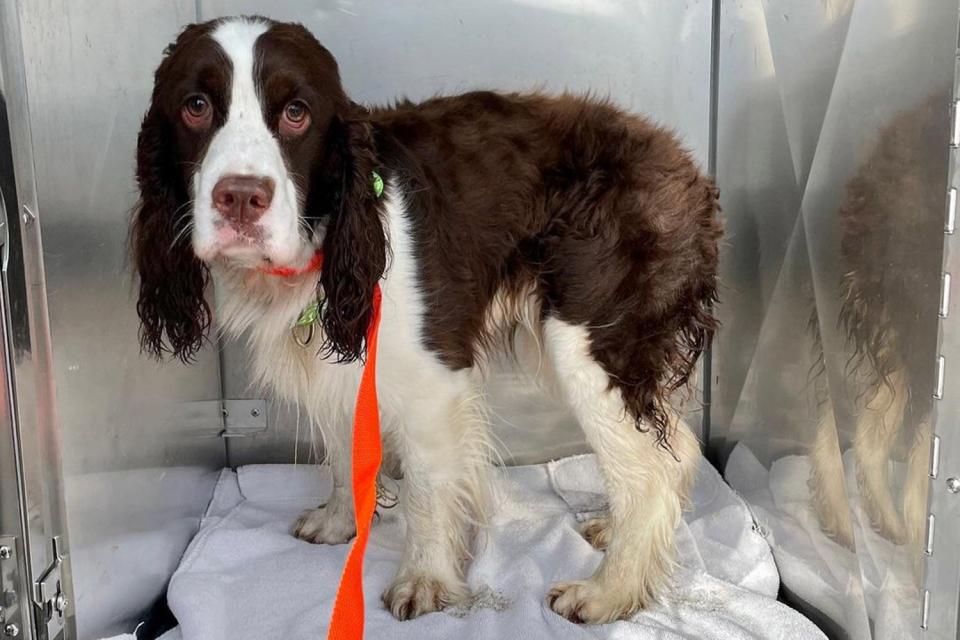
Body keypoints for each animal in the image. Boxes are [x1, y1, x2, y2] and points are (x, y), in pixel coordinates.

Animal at [133, 16, 720, 624]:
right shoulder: (340, 368)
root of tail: (684, 167)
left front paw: (425, 579)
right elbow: (343, 452)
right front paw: (340, 523)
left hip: (588, 338)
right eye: (196, 105)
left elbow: (428, 486)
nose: (241, 197)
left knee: (648, 473)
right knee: (675, 446)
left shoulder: (433, 381)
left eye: (297, 112)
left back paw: (610, 591)